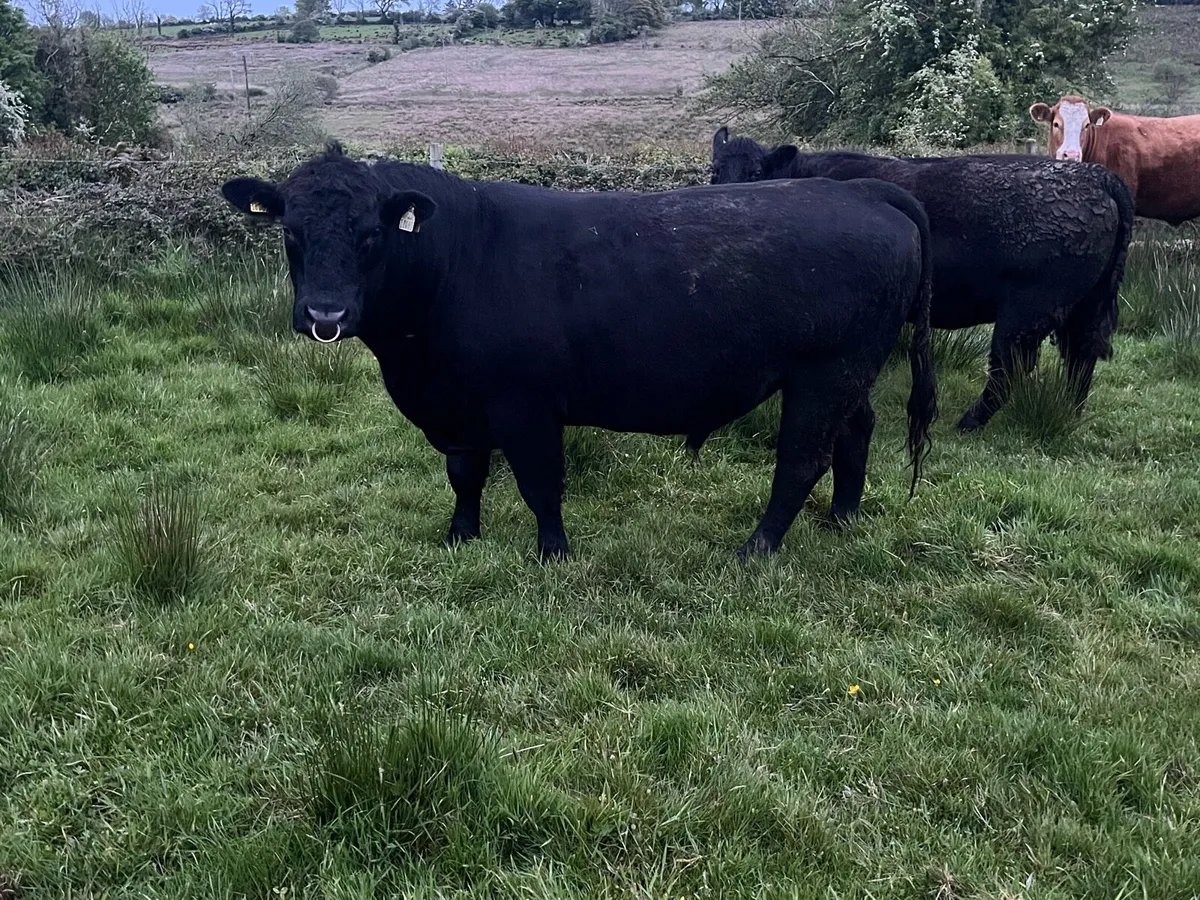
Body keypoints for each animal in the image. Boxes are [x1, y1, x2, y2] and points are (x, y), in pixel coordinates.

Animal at [221, 141, 937, 562]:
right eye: (290, 231)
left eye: (371, 234)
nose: (326, 315)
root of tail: (862, 189)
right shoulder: (458, 405)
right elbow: (465, 475)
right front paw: (460, 537)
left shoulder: (524, 404)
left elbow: (540, 483)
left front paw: (553, 554)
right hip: (850, 375)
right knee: (855, 433)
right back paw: (843, 519)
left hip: (826, 374)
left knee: (801, 459)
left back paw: (755, 550)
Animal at [710, 127, 1134, 433]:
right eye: (715, 170)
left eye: (755, 173)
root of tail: (1096, 177)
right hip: (1085, 306)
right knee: (1081, 359)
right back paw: (1069, 410)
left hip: (1027, 312)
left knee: (1009, 368)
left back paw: (969, 422)